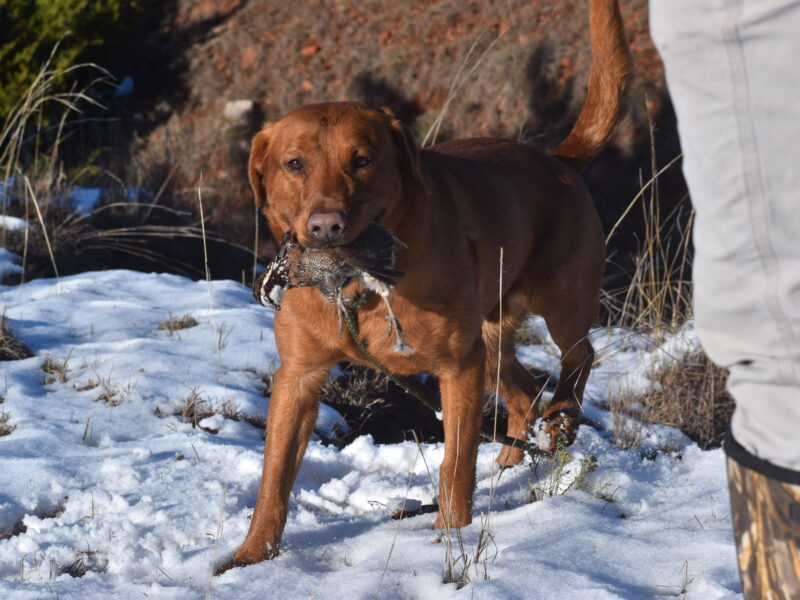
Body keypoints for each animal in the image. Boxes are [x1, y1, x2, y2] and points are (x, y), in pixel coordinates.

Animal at [220, 0, 632, 568]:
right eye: (294, 164)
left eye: (363, 160)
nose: (326, 226)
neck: (356, 287)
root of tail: (557, 159)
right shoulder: (298, 378)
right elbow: (274, 478)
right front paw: (252, 555)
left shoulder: (457, 369)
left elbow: (455, 462)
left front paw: (449, 534)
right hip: (490, 341)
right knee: (524, 396)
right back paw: (509, 463)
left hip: (558, 304)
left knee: (580, 356)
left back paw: (564, 417)